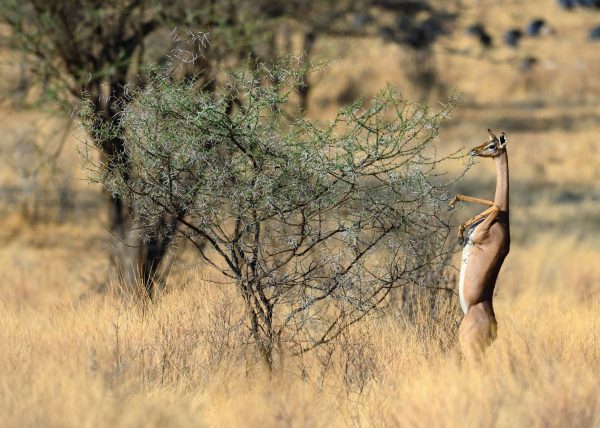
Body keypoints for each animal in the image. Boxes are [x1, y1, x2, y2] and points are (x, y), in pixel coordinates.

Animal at [450, 129, 510, 360]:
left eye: (493, 145)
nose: (473, 150)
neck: (504, 221)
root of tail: (493, 327)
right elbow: (493, 204)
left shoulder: (481, 234)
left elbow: (495, 205)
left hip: (470, 350)